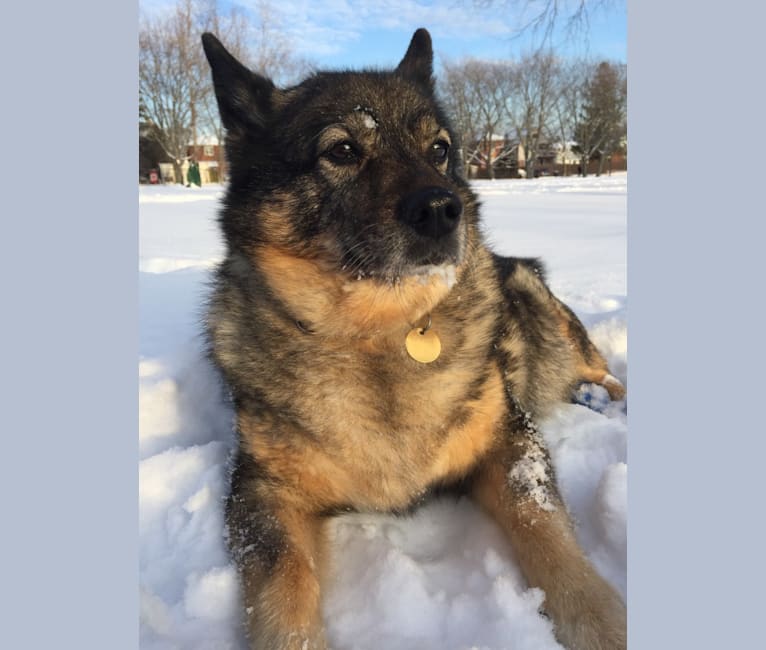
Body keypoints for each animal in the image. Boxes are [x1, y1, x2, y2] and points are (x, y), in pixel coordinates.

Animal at [202, 27, 632, 644]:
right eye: (342, 151)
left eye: (440, 149)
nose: (443, 210)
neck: (380, 334)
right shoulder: (261, 493)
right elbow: (283, 592)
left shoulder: (511, 440)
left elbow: (545, 530)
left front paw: (600, 621)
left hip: (538, 299)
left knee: (600, 369)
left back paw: (608, 399)